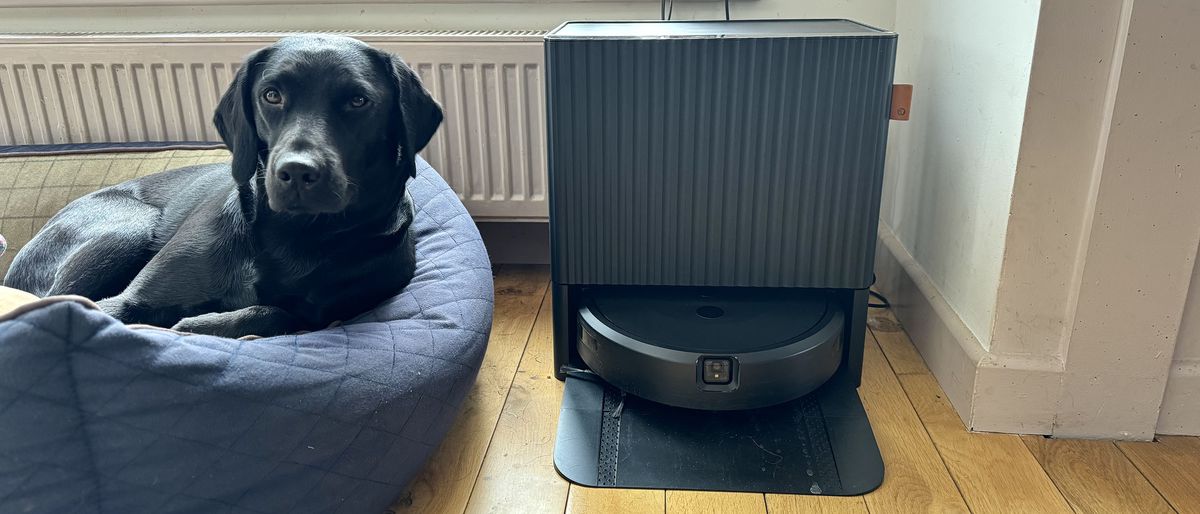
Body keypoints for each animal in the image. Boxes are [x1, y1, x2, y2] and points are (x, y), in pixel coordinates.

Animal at [2, 35, 444, 336]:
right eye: (271, 95)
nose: (297, 172)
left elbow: (280, 313)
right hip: (128, 228)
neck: (294, 235)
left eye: (358, 101)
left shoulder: (325, 311)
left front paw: (202, 324)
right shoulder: (128, 301)